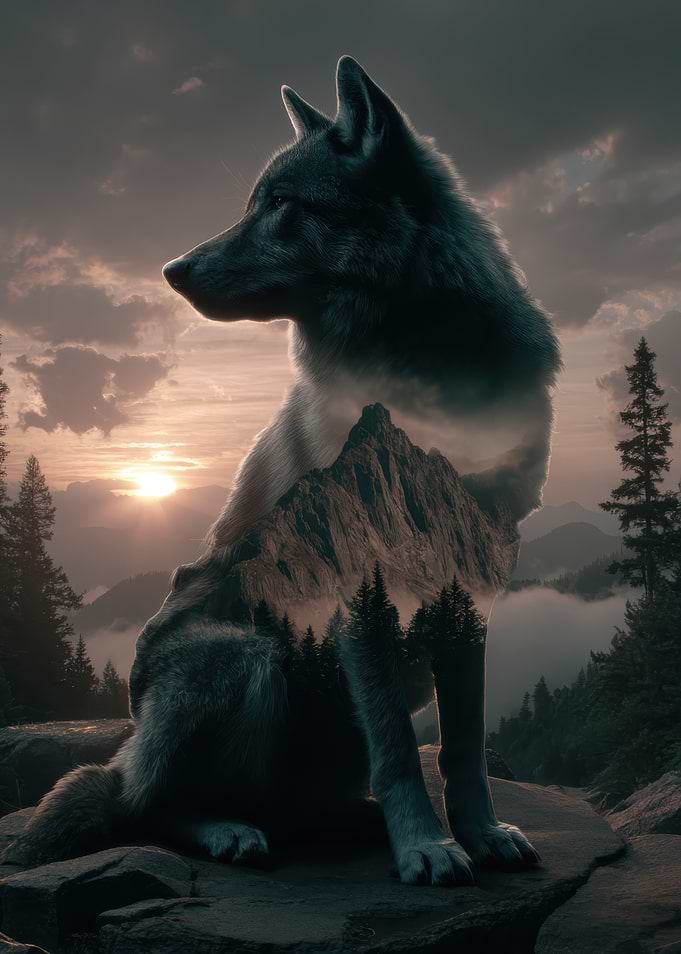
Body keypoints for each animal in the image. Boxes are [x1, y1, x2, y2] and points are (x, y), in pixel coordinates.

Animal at [2, 57, 560, 885]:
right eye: (252, 202)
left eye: (280, 204)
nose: (171, 269)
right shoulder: (359, 585)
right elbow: (399, 746)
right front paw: (426, 846)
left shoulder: (473, 579)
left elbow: (462, 744)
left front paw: (482, 833)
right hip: (249, 657)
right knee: (153, 807)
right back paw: (232, 831)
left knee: (287, 806)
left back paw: (344, 820)